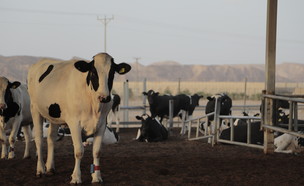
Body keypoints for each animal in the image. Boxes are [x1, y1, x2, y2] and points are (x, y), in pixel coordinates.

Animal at [26, 53, 130, 184]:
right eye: (93, 72)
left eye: (112, 73)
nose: (104, 97)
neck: (93, 104)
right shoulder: (74, 123)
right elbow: (79, 151)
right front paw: (76, 177)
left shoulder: (102, 124)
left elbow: (97, 152)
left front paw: (96, 177)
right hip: (34, 109)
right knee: (39, 139)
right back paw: (40, 170)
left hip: (54, 116)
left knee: (51, 138)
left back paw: (50, 168)